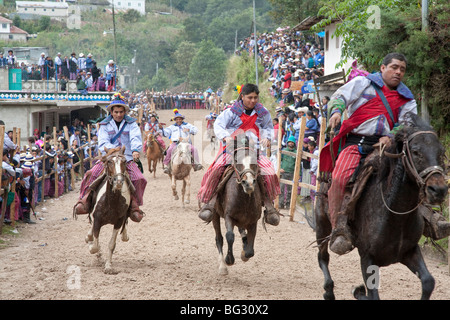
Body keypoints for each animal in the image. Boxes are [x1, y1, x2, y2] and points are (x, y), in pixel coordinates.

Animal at [85, 146, 132, 274]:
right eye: (109, 162)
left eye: (124, 162)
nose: (119, 181)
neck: (111, 202)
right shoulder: (97, 220)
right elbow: (95, 246)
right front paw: (91, 245)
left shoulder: (118, 222)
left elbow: (111, 244)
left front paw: (108, 266)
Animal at [314, 115, 448, 300]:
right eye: (415, 151)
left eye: (441, 152)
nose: (439, 190)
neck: (396, 215)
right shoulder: (367, 258)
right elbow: (373, 294)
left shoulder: (410, 252)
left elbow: (428, 281)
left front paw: (358, 291)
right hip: (322, 225)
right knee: (323, 257)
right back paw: (328, 291)